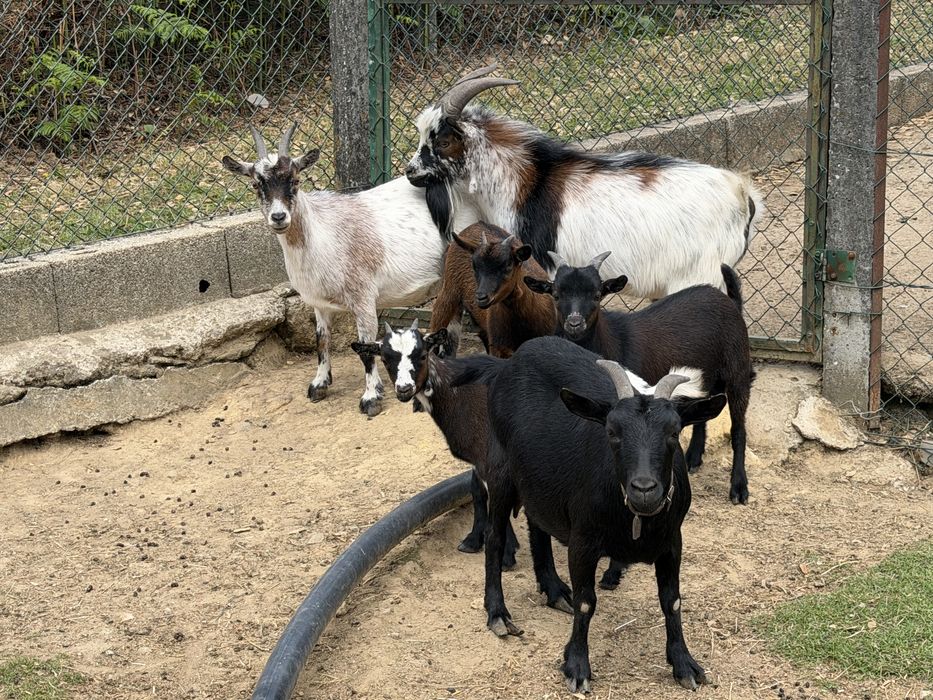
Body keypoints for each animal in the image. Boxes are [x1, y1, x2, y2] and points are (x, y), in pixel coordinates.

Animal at [221, 123, 478, 416]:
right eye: (256, 184)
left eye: (295, 181)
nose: (278, 217)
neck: (324, 235)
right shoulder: (319, 304)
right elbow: (321, 341)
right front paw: (319, 385)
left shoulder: (363, 298)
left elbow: (366, 349)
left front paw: (371, 398)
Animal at [449, 336, 726, 693]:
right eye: (611, 431)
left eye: (674, 432)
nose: (644, 489)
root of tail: (509, 363)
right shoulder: (583, 542)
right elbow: (586, 601)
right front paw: (577, 666)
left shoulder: (672, 542)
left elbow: (672, 600)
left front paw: (684, 664)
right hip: (500, 469)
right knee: (495, 538)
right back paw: (498, 614)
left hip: (538, 478)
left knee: (537, 525)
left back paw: (554, 590)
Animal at [525, 254, 754, 504]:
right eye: (556, 294)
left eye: (597, 294)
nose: (575, 324)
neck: (611, 340)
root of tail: (729, 302)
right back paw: (694, 457)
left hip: (738, 371)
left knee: (738, 428)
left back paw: (739, 487)